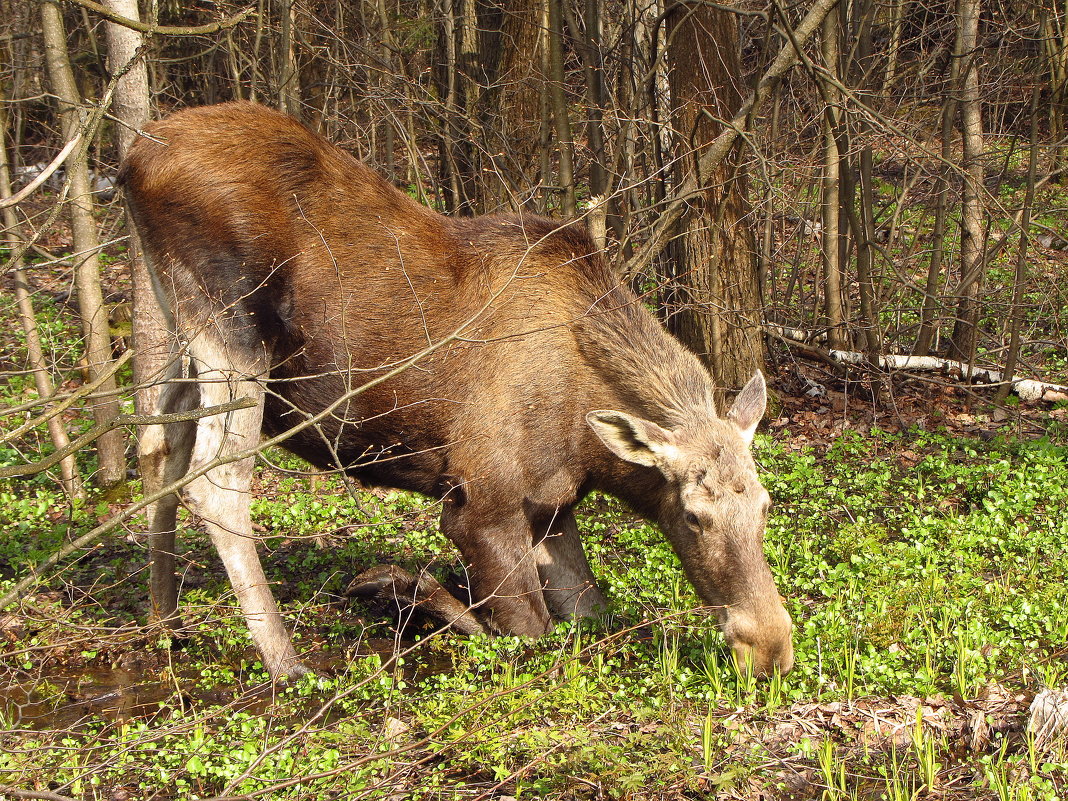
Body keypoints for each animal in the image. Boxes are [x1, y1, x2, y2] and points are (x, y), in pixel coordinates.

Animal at [122, 98, 794, 679]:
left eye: (766, 506)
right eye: (693, 515)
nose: (770, 648)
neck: (585, 440)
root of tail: (132, 160)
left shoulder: (553, 508)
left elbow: (587, 611)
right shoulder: (479, 504)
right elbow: (526, 630)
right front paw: (405, 590)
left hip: (169, 324)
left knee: (158, 451)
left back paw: (163, 620)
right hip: (234, 336)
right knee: (213, 483)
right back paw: (284, 659)